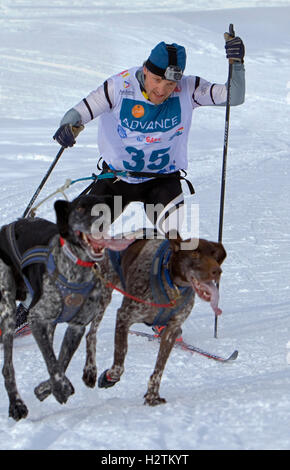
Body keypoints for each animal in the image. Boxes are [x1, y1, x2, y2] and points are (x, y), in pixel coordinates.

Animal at [0, 193, 133, 420]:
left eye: (104, 206)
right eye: (79, 208)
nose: (100, 219)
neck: (77, 267)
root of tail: (10, 224)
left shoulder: (76, 327)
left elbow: (61, 361)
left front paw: (46, 388)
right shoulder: (36, 318)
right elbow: (53, 363)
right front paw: (60, 387)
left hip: (49, 323)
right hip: (8, 308)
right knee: (8, 365)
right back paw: (16, 404)